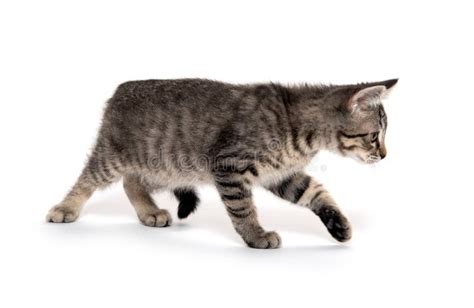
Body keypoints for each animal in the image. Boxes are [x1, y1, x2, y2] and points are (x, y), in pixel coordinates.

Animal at [47, 79, 396, 248]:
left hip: (164, 165)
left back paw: (149, 212)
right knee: (89, 177)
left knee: (132, 181)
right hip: (119, 155)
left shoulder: (282, 175)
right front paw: (255, 236)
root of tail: (120, 89)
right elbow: (242, 208)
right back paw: (65, 208)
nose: (384, 155)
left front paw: (339, 224)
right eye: (373, 136)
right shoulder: (228, 166)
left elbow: (317, 192)